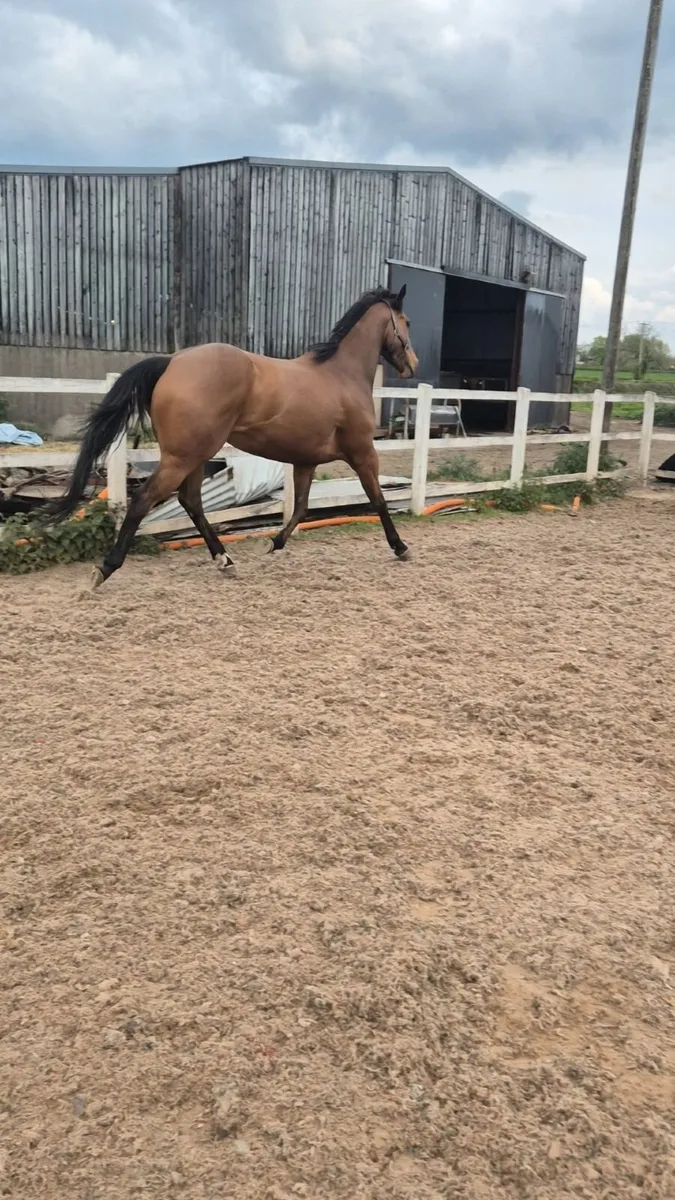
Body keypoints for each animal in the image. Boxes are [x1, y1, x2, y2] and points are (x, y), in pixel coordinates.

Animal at [48, 284, 419, 589]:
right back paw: (105, 569)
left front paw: (273, 542)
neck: (340, 375)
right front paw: (401, 547)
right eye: (407, 322)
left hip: (195, 455)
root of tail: (172, 361)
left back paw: (225, 560)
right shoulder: (363, 452)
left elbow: (300, 509)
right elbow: (377, 500)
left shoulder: (305, 462)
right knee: (144, 500)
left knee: (191, 501)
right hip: (182, 457)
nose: (412, 365)